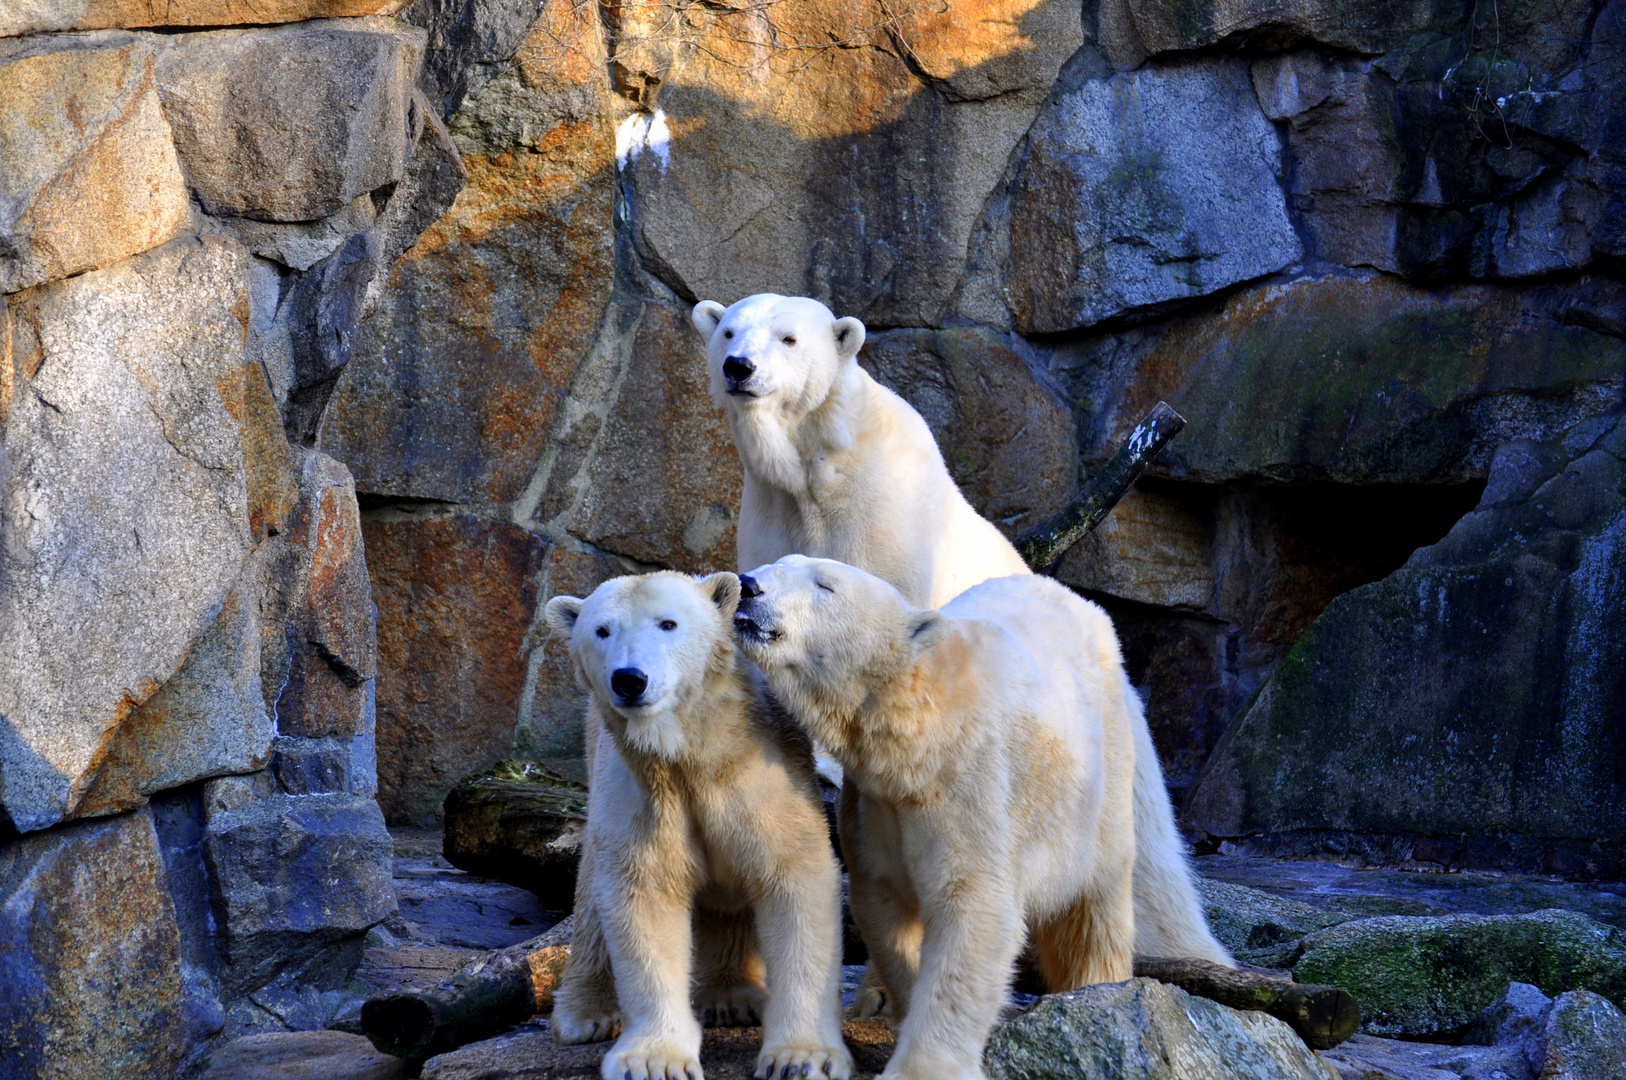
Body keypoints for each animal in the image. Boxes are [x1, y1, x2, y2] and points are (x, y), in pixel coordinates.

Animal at [546, 569, 852, 1080]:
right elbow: (646, 895)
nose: (630, 679)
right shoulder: (646, 795)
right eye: (602, 630)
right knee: (591, 890)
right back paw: (585, 1012)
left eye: (668, 623)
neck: (694, 752)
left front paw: (801, 1057)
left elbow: (793, 881)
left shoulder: (765, 773)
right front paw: (653, 1060)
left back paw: (732, 996)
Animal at [692, 291, 1235, 962]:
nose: (738, 367)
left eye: (788, 338)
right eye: (729, 331)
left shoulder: (885, 516)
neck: (820, 464)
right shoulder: (770, 509)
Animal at [731, 556, 1222, 1080]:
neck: (922, 729)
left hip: (1097, 789)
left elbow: (974, 907)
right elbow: (884, 902)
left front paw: (922, 1068)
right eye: (778, 564)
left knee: (1093, 906)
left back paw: (1094, 989)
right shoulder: (876, 804)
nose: (749, 585)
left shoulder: (972, 784)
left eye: (825, 585)